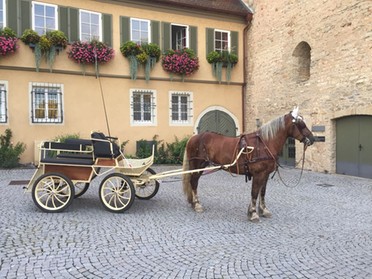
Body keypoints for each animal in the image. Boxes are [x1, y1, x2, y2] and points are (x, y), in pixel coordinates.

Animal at [182, 107, 314, 223]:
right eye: (301, 124)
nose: (312, 139)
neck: (265, 143)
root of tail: (193, 138)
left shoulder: (265, 174)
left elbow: (262, 192)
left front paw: (263, 210)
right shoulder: (258, 174)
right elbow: (254, 192)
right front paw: (254, 213)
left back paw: (194, 203)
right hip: (198, 165)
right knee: (194, 182)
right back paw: (197, 204)